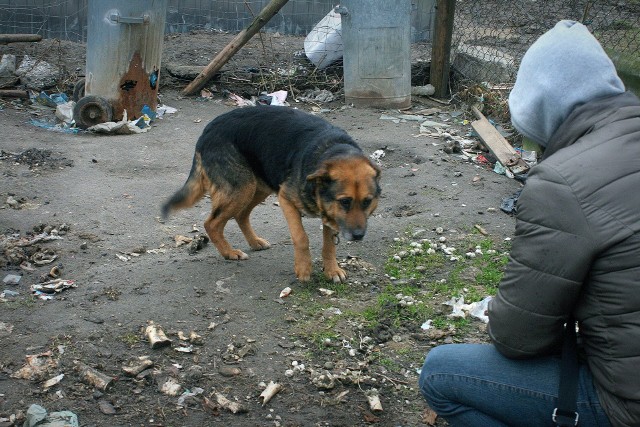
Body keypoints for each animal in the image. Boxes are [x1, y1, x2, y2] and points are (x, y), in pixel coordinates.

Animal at [162, 105, 380, 282]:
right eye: (345, 202)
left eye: (367, 202)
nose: (358, 236)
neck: (333, 150)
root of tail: (207, 130)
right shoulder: (286, 199)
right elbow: (301, 237)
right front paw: (303, 268)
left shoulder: (330, 215)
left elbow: (329, 244)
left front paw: (332, 269)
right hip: (241, 189)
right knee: (212, 223)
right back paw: (229, 252)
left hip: (257, 188)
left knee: (241, 215)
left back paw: (254, 242)